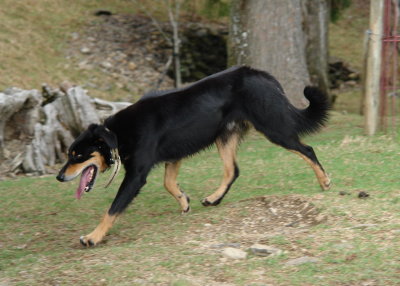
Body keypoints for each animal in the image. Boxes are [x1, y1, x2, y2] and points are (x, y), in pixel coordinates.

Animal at [56, 65, 332, 246]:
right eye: (69, 154)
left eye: (77, 155)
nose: (59, 177)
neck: (117, 133)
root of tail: (262, 74)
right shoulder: (172, 157)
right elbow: (169, 184)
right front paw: (184, 201)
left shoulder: (136, 175)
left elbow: (112, 209)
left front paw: (93, 237)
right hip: (225, 136)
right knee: (232, 170)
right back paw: (214, 198)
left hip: (273, 127)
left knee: (307, 149)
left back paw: (324, 181)